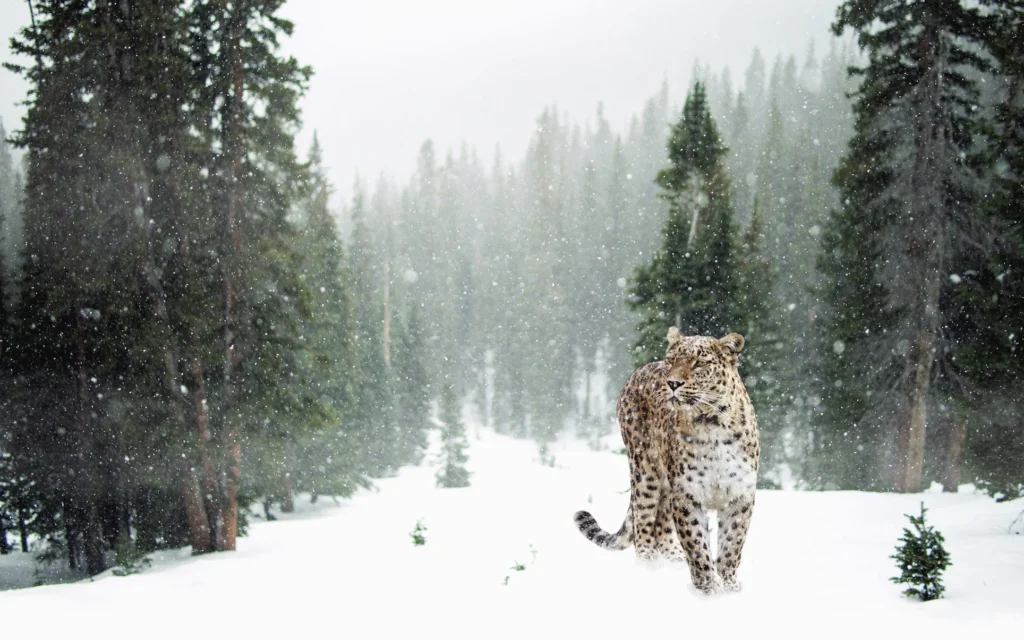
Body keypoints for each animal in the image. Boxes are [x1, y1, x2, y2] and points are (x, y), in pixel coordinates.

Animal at [574, 326, 760, 595]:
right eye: (672, 360)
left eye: (699, 363)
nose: (672, 383)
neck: (712, 423)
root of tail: (639, 370)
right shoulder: (687, 495)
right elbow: (696, 544)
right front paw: (708, 588)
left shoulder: (739, 495)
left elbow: (732, 544)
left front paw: (729, 586)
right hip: (644, 471)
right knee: (643, 521)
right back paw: (649, 567)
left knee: (661, 523)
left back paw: (673, 560)